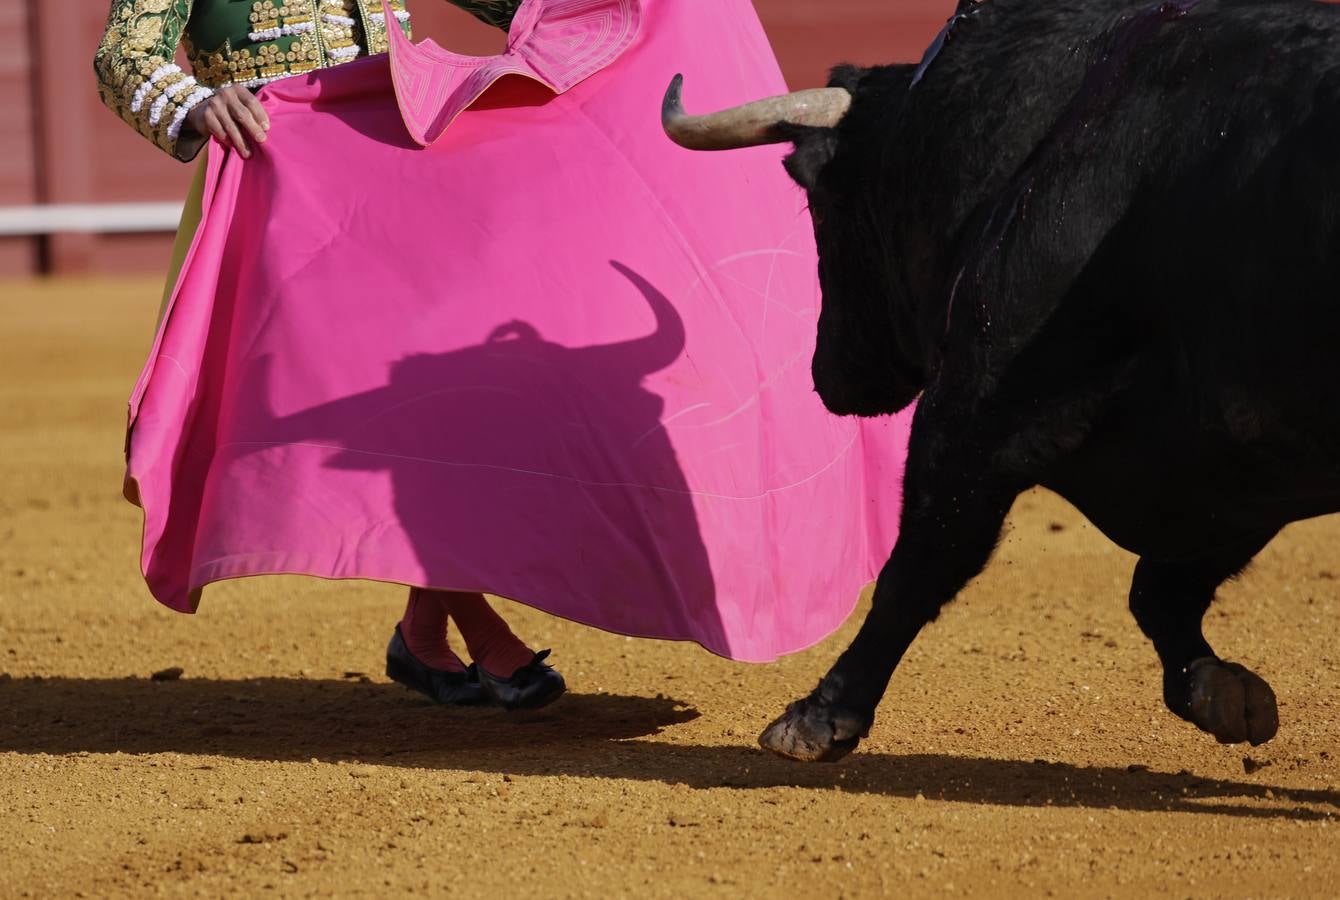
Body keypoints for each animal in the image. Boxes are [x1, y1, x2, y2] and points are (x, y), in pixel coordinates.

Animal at [667, 0, 1340, 760]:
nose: (824, 372)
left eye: (818, 204)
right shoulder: (1243, 466)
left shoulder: (973, 412)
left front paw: (814, 718)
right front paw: (1225, 694)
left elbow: (920, 563)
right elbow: (1160, 590)